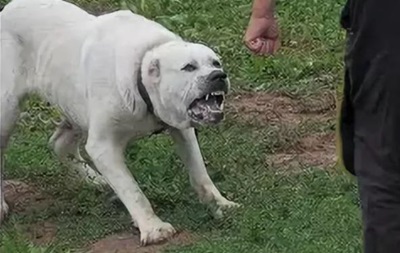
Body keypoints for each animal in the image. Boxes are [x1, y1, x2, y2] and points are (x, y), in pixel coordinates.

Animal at [0, 0, 239, 246]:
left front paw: (220, 203)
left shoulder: (183, 130)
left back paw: (94, 179)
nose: (219, 75)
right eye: (189, 67)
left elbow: (200, 172)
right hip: (7, 111)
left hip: (75, 107)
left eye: (216, 62)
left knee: (60, 143)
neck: (141, 78)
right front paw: (153, 228)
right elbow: (132, 190)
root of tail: (9, 8)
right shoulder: (103, 146)